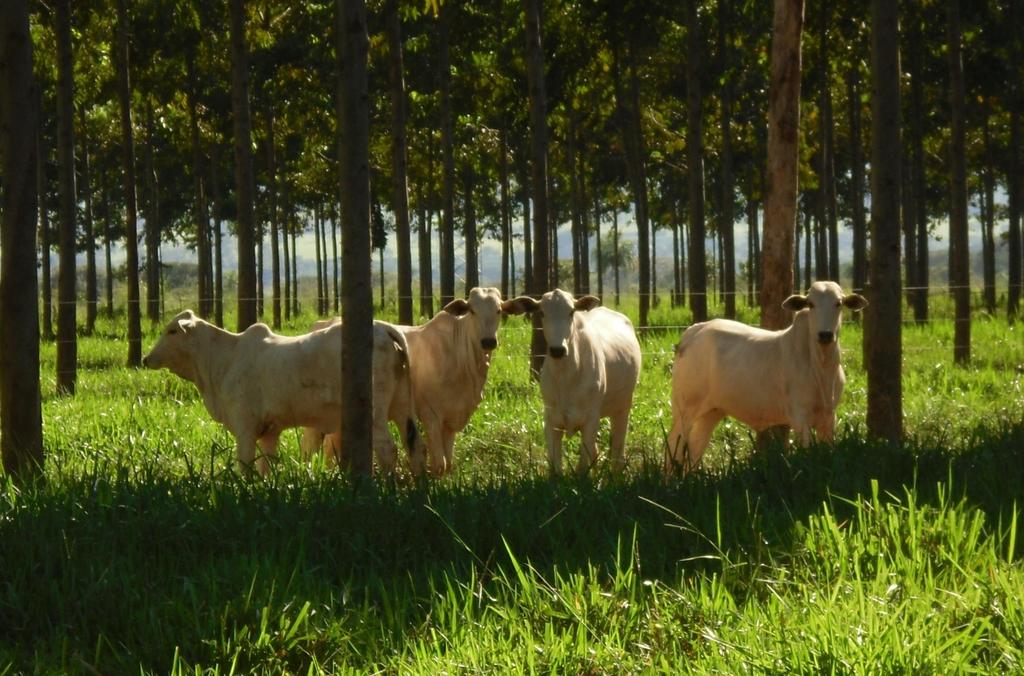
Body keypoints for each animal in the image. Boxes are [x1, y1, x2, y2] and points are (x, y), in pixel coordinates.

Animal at [144, 309, 419, 473]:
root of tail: (384, 328)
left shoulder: (245, 428)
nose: (147, 359)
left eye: (172, 331)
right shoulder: (270, 433)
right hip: (401, 408)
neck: (225, 358)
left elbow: (245, 466)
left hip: (374, 413)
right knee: (415, 446)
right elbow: (266, 467)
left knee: (388, 450)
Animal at [503, 288, 638, 475]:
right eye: (542, 312)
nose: (557, 350)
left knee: (618, 451)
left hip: (623, 407)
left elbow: (582, 467)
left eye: (571, 311)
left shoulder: (591, 420)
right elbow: (556, 467)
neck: (566, 376)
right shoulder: (551, 421)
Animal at [667, 280, 868, 475]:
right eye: (811, 304)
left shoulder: (829, 415)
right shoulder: (800, 415)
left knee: (696, 447)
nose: (825, 334)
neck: (821, 366)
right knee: (674, 444)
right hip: (684, 409)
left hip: (712, 411)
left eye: (838, 303)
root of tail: (693, 331)